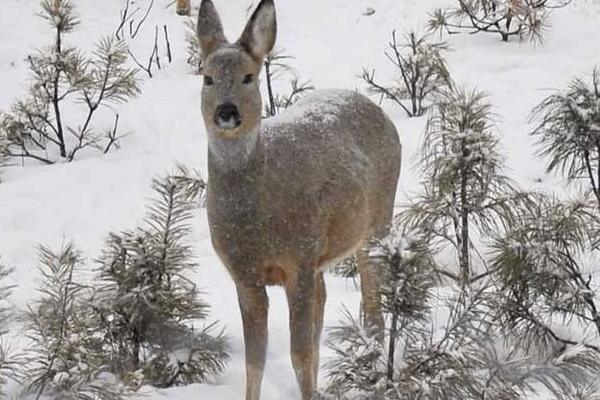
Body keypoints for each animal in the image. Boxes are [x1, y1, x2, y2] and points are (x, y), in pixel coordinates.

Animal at [197, 1, 400, 398]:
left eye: (248, 77)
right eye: (207, 78)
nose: (226, 112)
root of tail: (376, 107)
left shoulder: (299, 259)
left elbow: (299, 354)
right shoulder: (244, 275)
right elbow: (255, 359)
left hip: (377, 221)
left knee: (371, 308)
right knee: (326, 305)